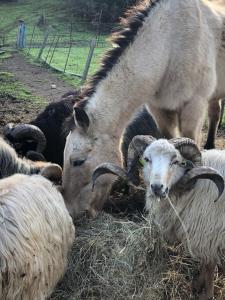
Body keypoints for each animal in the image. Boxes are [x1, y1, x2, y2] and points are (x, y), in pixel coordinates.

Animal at [61, 0, 225, 218]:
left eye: (77, 161)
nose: (71, 211)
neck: (170, 43)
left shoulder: (194, 106)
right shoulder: (160, 109)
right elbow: (167, 140)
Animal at [92, 137, 225, 300]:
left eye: (175, 161)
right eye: (147, 159)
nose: (156, 187)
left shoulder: (208, 235)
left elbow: (209, 266)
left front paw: (207, 294)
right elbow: (205, 264)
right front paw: (197, 285)